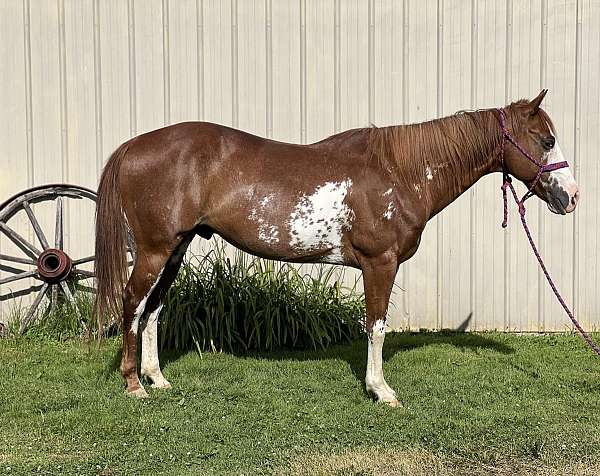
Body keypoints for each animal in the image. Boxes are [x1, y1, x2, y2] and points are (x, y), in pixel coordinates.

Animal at [96, 90, 580, 406]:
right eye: (547, 140)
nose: (572, 197)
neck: (400, 171)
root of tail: (134, 145)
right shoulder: (380, 264)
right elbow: (377, 326)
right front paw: (381, 391)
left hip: (175, 250)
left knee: (153, 309)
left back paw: (157, 379)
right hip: (154, 251)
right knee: (132, 305)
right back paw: (133, 384)